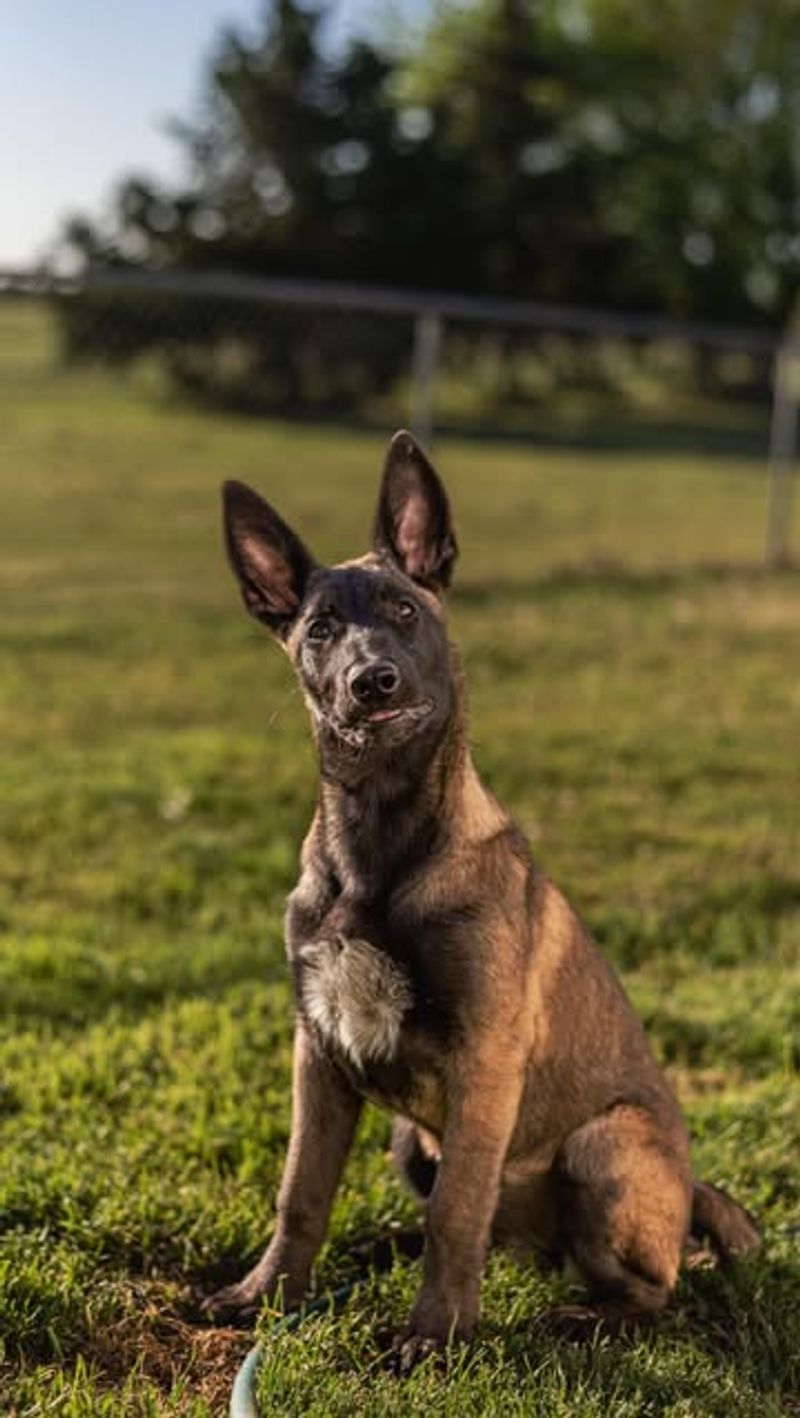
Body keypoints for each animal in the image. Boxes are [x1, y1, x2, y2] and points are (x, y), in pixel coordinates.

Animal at [204, 428, 754, 1361]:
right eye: (320, 630)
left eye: (404, 612)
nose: (372, 681)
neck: (380, 842)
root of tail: (690, 1187)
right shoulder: (319, 1051)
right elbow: (301, 1193)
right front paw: (266, 1295)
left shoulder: (484, 1058)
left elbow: (458, 1211)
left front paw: (436, 1336)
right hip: (407, 1143)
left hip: (603, 1147)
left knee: (651, 1285)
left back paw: (587, 1317)